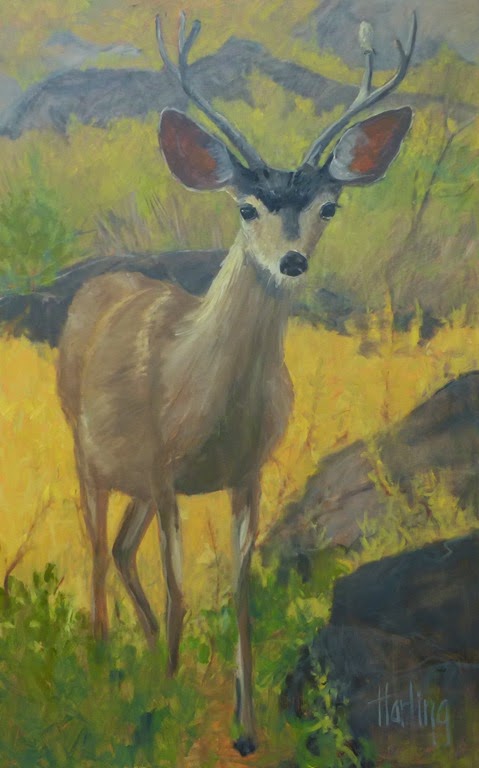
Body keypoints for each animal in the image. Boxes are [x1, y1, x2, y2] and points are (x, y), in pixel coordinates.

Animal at [56, 11, 417, 756]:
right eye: (247, 207)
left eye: (330, 207)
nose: (292, 260)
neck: (207, 401)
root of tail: (99, 285)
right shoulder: (166, 469)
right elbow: (179, 587)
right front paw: (166, 709)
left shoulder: (245, 471)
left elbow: (242, 593)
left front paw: (245, 729)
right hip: (85, 449)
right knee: (98, 553)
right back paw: (107, 664)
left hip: (135, 481)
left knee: (120, 549)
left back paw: (147, 654)